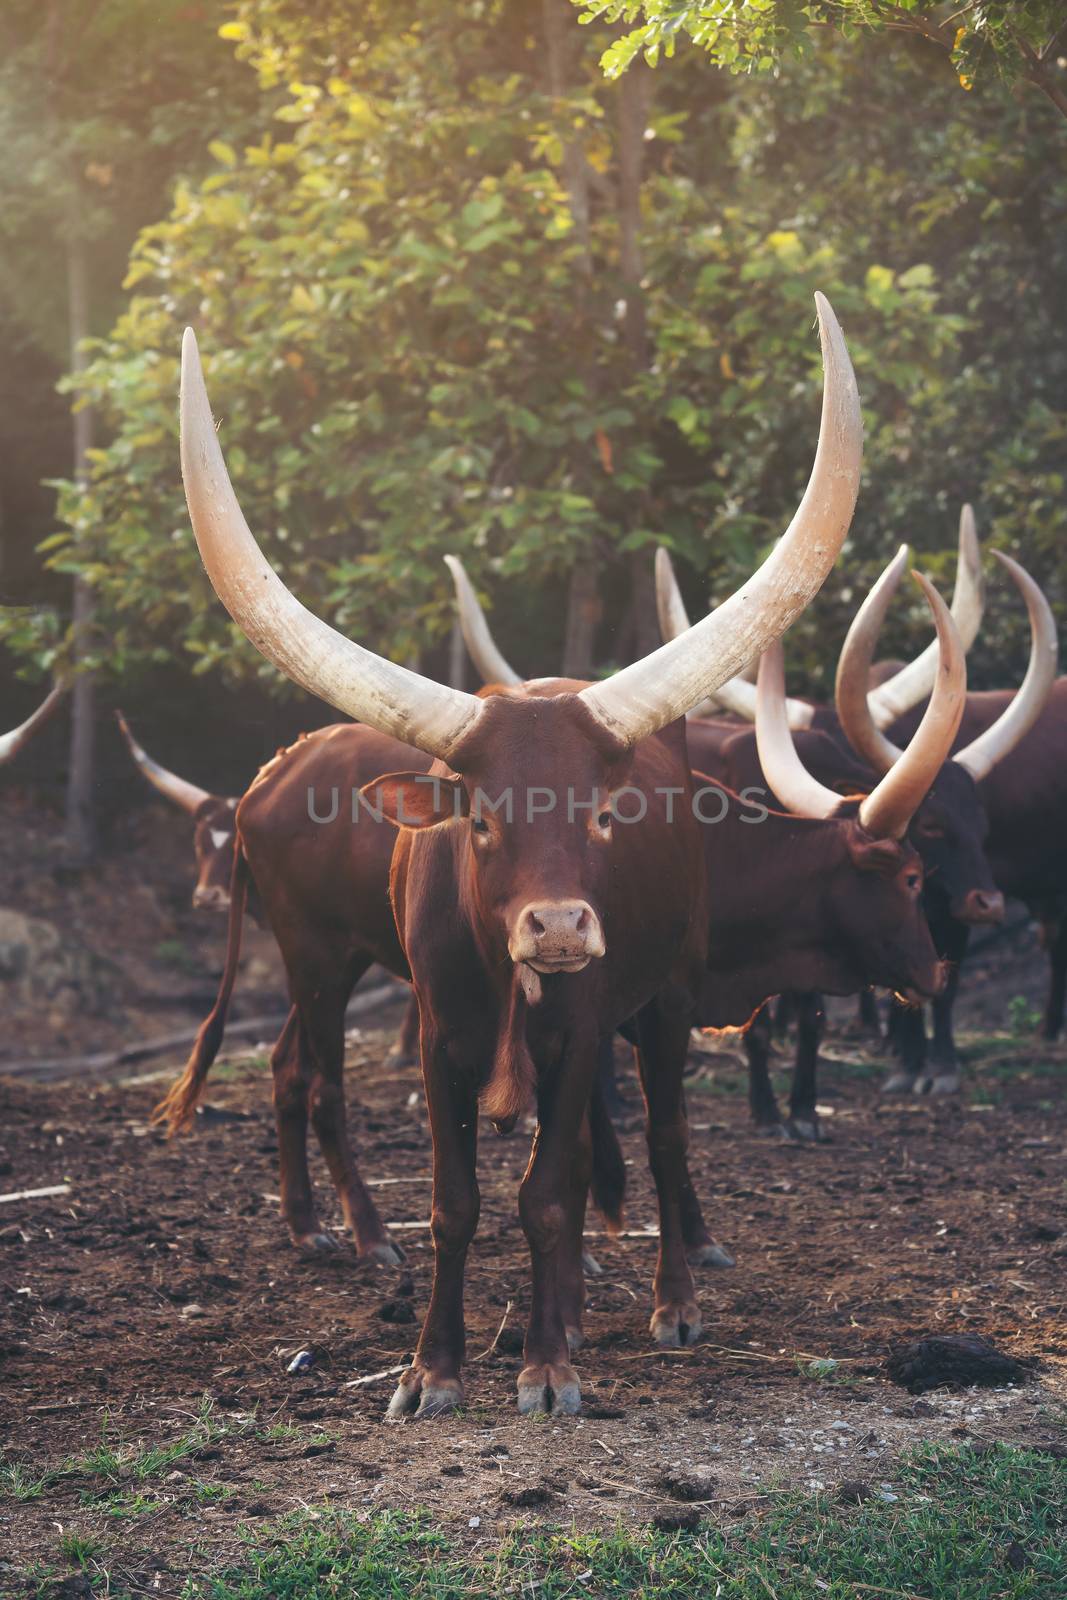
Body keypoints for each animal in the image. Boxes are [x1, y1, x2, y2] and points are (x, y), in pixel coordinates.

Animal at [181, 294, 870, 1420]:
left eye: (598, 815)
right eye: (479, 819)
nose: (555, 925)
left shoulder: (586, 1027)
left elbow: (547, 1192)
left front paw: (547, 1367)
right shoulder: (432, 1037)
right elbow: (455, 1202)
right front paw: (430, 1369)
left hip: (663, 1000)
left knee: (660, 1135)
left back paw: (664, 1305)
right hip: (325, 959)